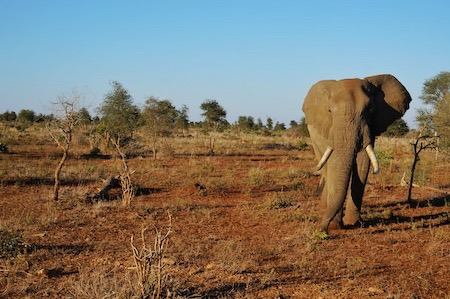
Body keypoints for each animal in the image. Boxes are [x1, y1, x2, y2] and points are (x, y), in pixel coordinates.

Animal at [302, 75, 412, 234]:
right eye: (329, 111)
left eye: (370, 110)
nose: (323, 229)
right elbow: (334, 165)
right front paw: (337, 225)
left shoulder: (371, 127)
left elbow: (363, 162)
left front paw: (352, 223)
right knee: (326, 167)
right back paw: (323, 207)